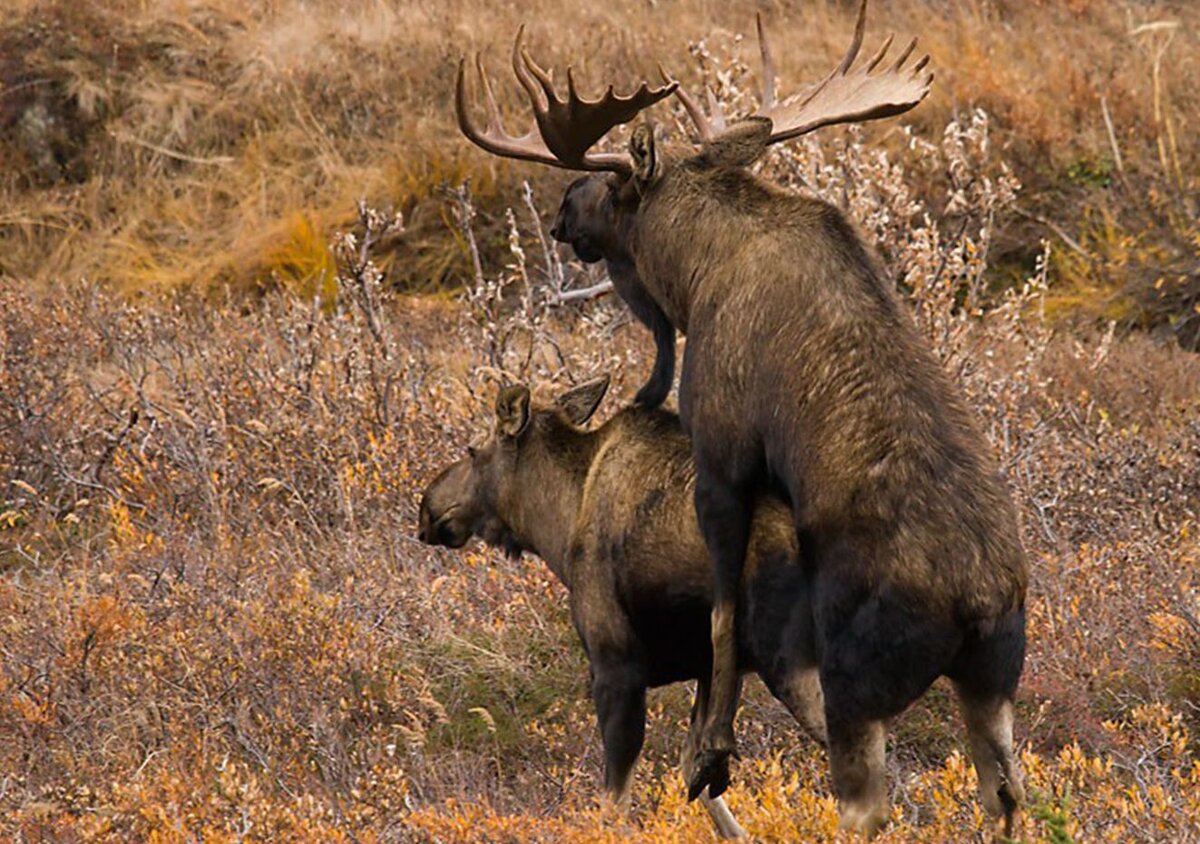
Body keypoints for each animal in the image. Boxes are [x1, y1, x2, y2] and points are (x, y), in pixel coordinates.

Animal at [453, 0, 1027, 835]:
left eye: (608, 188)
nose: (561, 214)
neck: (690, 275)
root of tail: (977, 603)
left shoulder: (722, 452)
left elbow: (722, 619)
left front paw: (710, 756)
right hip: (993, 680)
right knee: (1010, 794)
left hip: (858, 676)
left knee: (868, 802)